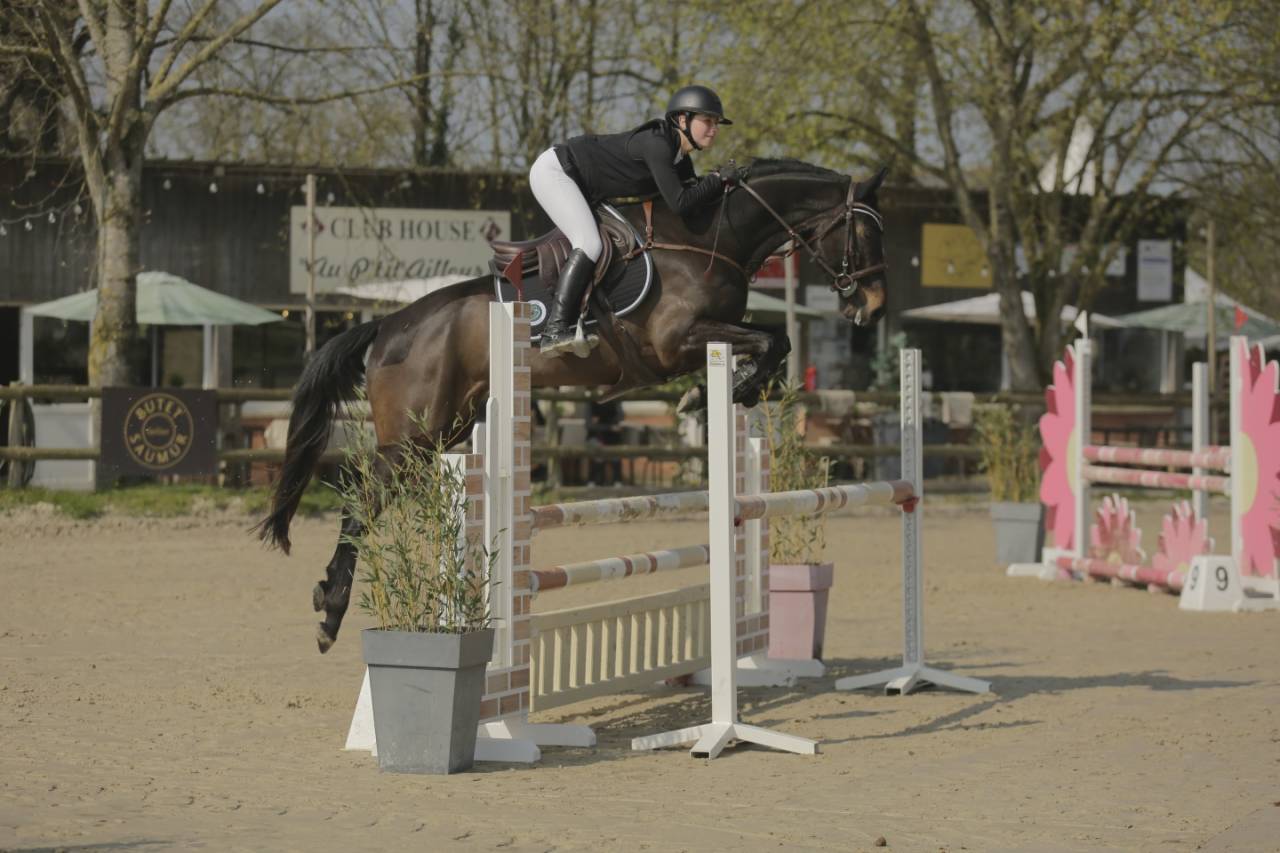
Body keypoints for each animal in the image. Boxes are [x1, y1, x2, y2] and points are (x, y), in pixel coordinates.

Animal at [257, 158, 889, 652]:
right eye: (863, 234)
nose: (875, 307)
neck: (712, 238)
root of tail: (388, 324)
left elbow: (772, 342)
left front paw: (723, 393)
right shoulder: (676, 342)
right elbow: (773, 341)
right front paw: (727, 392)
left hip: (450, 428)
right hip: (410, 440)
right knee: (359, 506)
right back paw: (330, 610)